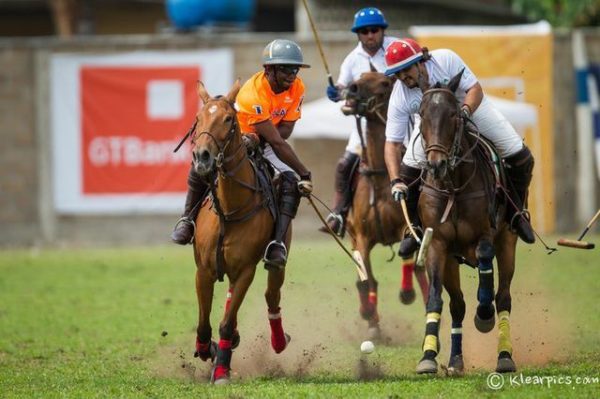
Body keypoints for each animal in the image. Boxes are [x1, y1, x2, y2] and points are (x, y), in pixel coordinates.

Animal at [191, 80, 292, 384]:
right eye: (198, 118)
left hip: (276, 258)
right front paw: (208, 350)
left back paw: (278, 340)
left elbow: (224, 324)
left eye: (228, 119)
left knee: (271, 295)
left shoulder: (246, 270)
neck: (230, 209)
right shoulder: (204, 270)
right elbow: (204, 324)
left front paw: (221, 371)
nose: (202, 157)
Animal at [340, 71, 428, 340]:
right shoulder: (360, 237)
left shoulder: (407, 227)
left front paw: (407, 293)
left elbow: (410, 258)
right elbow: (366, 279)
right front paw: (370, 319)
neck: (379, 178)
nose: (351, 89)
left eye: (384, 82)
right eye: (359, 76)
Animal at [414, 71, 516, 376]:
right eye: (421, 114)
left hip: (508, 241)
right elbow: (435, 298)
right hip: (451, 260)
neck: (453, 187)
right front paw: (428, 356)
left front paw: (484, 315)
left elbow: (484, 259)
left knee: (503, 296)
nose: (436, 164)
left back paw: (504, 355)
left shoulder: (486, 233)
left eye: (453, 115)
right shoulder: (437, 243)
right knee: (457, 304)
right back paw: (455, 361)